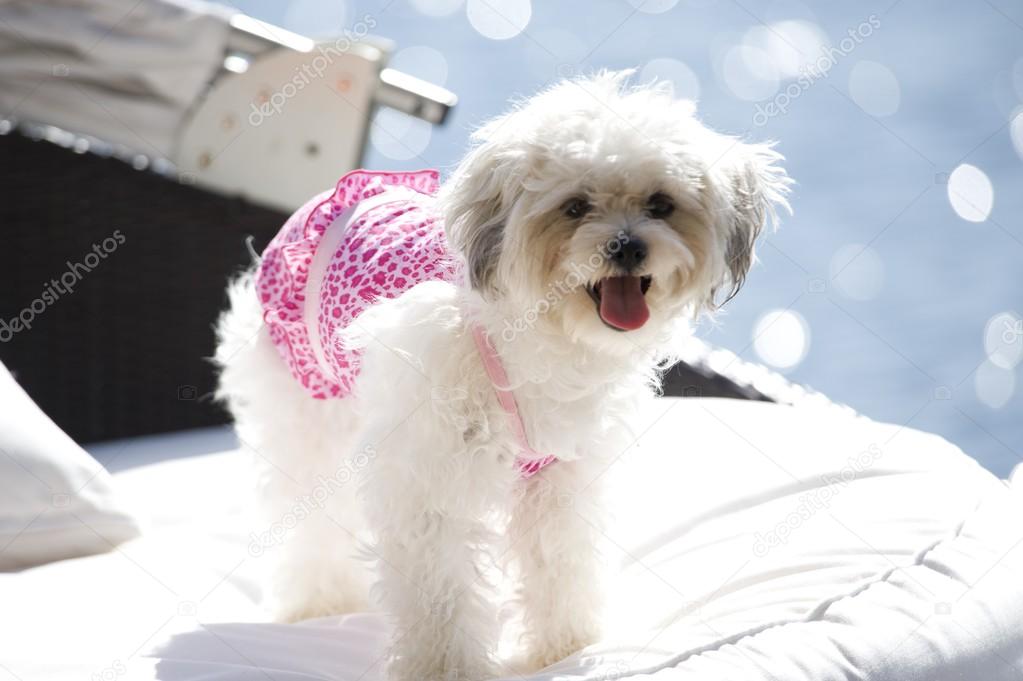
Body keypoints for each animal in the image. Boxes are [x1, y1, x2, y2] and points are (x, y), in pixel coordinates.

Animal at [213, 71, 789, 674]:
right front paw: (445, 669)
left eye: (661, 203)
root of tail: (324, 202)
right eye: (575, 207)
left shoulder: (560, 479)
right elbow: (440, 593)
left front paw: (564, 646)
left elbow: (561, 562)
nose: (627, 246)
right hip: (308, 413)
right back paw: (319, 603)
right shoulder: (430, 482)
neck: (542, 334)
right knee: (310, 519)